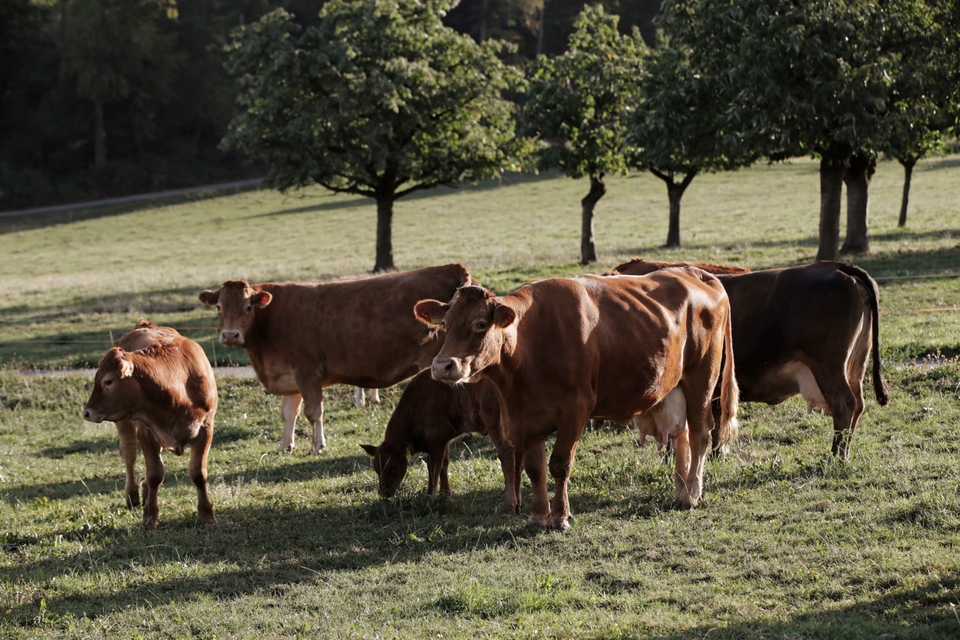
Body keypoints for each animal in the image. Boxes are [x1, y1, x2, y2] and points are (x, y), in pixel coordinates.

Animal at [82, 318, 218, 528]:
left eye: (108, 381)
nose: (87, 412)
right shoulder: (146, 432)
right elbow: (155, 474)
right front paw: (149, 517)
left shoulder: (205, 429)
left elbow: (198, 473)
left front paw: (206, 514)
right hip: (125, 424)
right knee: (129, 454)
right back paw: (133, 495)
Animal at [199, 264, 476, 456]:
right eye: (219, 307)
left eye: (248, 308)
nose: (230, 335)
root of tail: (451, 267)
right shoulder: (290, 375)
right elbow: (289, 413)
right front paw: (285, 446)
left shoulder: (307, 372)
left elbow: (313, 412)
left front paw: (317, 445)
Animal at [358, 368, 496, 498]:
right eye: (376, 469)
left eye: (394, 467)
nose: (385, 493)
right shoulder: (442, 442)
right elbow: (443, 465)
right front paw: (446, 494)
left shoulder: (437, 439)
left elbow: (434, 468)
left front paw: (431, 496)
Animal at [416, 268, 740, 532]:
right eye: (445, 323)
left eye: (481, 324)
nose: (442, 366)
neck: (530, 343)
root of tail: (694, 272)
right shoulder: (528, 418)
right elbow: (535, 469)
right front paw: (538, 516)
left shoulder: (575, 410)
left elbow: (560, 464)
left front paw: (560, 518)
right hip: (676, 384)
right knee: (681, 434)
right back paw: (682, 491)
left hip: (702, 378)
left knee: (700, 433)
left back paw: (693, 493)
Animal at [616, 258, 892, 458]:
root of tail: (837, 266)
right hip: (856, 364)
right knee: (858, 404)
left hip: (829, 367)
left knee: (844, 404)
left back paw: (836, 455)